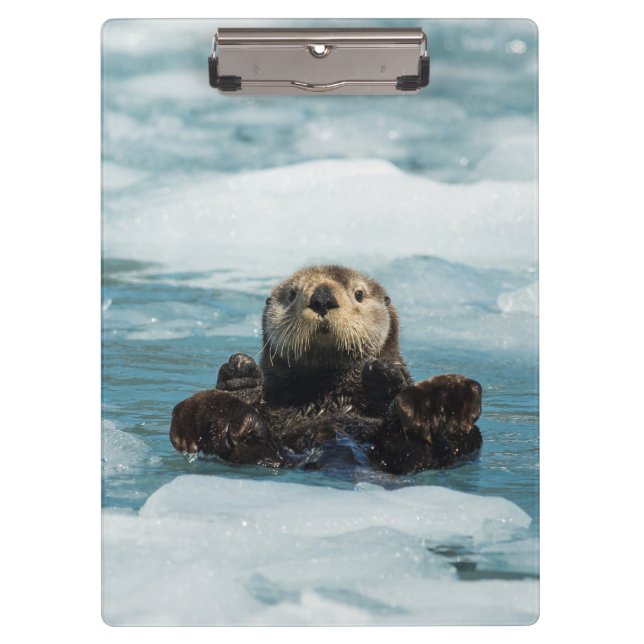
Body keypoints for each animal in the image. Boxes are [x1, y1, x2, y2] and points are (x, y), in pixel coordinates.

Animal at [170, 265, 482, 474]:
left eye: (359, 294)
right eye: (292, 294)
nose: (322, 297)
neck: (327, 398)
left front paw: (382, 374)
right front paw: (240, 374)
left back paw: (437, 403)